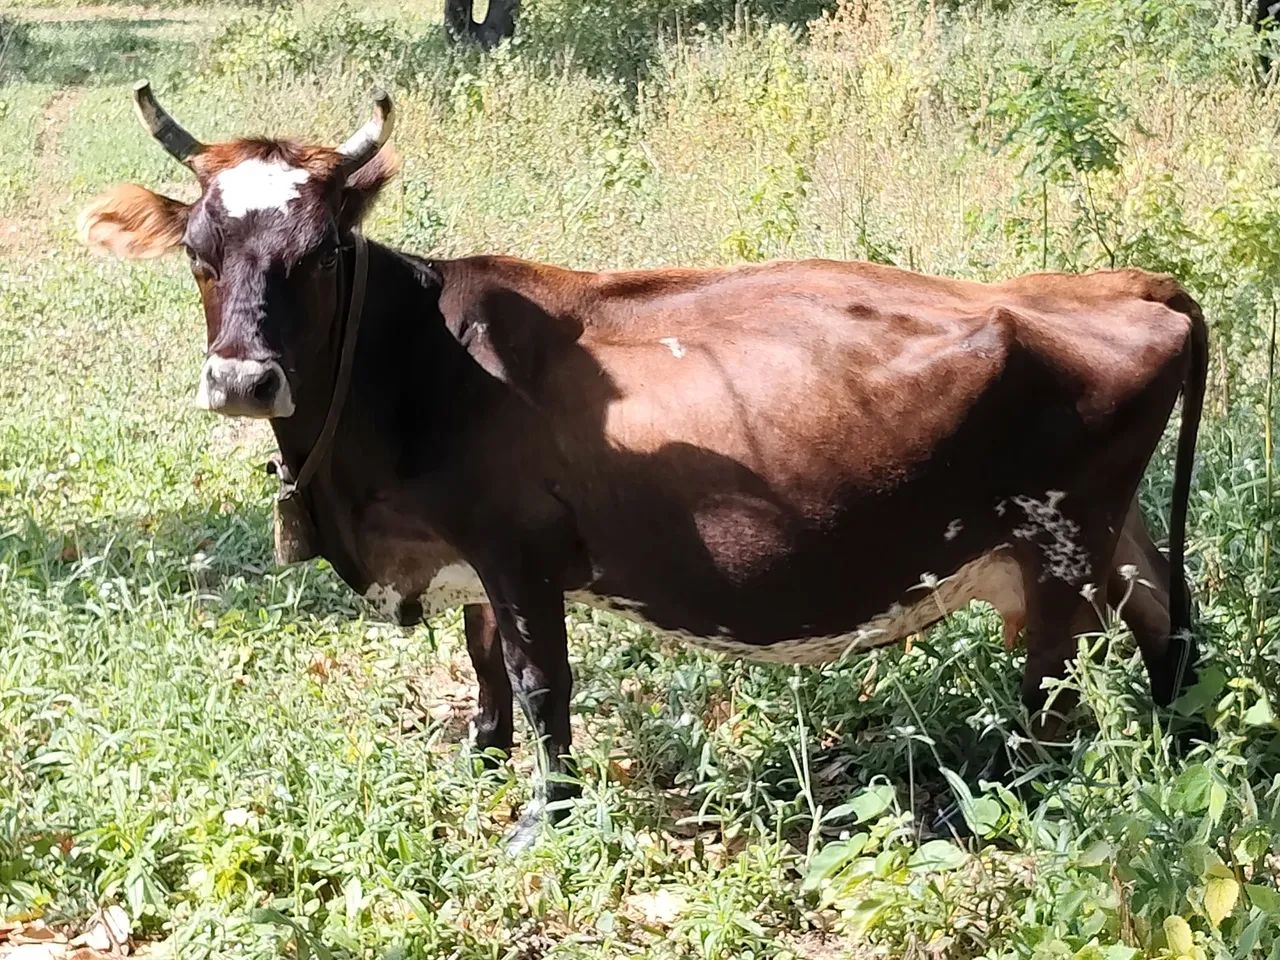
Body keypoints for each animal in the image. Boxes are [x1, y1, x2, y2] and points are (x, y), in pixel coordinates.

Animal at [79, 84, 1206, 850]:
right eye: (198, 252)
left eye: (317, 254)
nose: (241, 379)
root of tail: (1119, 283)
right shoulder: (470, 558)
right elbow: (483, 665)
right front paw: (478, 758)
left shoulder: (519, 551)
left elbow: (540, 679)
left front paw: (545, 815)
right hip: (1111, 536)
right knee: (1169, 616)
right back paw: (1185, 739)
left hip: (1057, 549)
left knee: (1054, 695)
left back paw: (1031, 800)